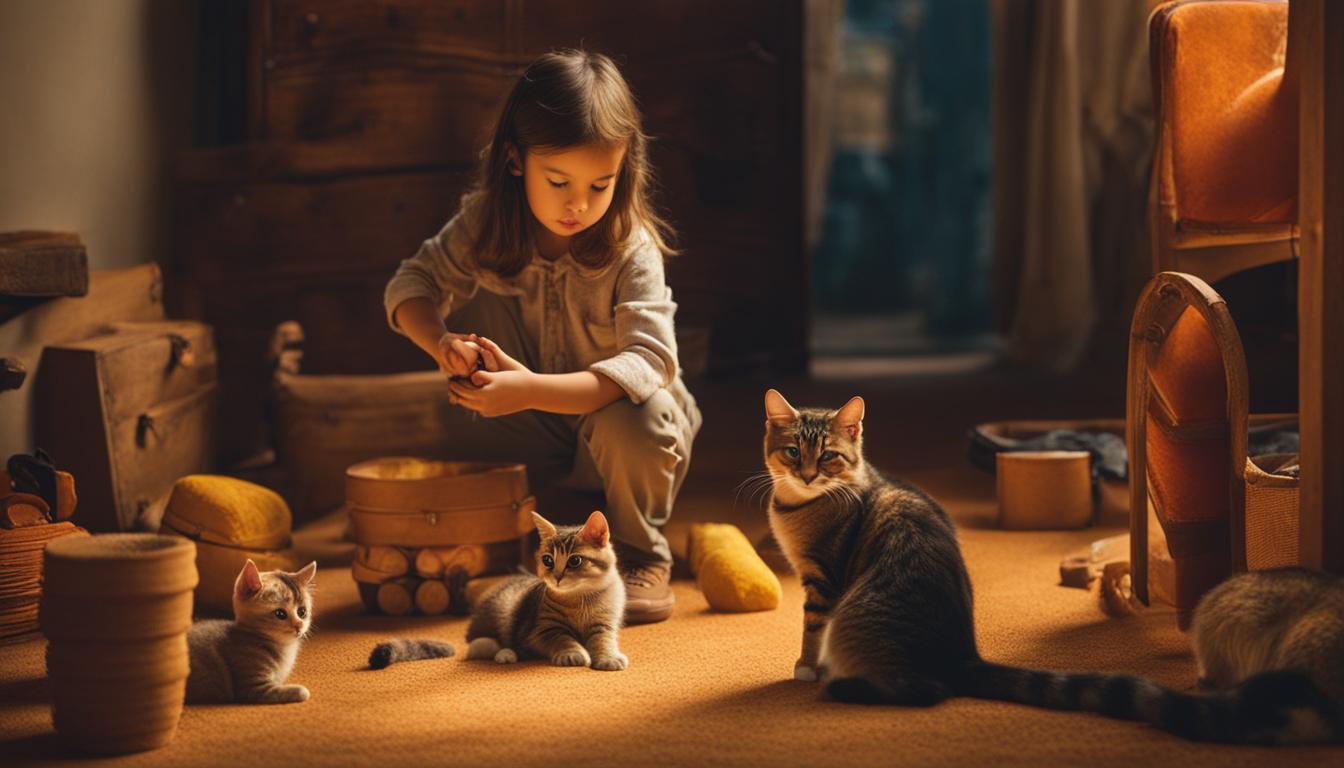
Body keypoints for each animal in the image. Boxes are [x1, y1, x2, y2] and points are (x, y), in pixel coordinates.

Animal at [186, 559, 317, 704]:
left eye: (302, 612)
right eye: (280, 614)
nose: (299, 625)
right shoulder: (253, 687)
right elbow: (293, 691)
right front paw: (302, 691)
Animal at [370, 511, 626, 672]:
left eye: (574, 561)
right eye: (548, 560)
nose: (556, 577)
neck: (580, 598)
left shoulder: (604, 624)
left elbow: (603, 639)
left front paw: (608, 657)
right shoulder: (541, 629)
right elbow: (562, 637)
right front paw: (573, 652)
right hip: (502, 613)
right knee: (479, 643)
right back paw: (503, 652)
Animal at [763, 390, 1338, 747]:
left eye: (829, 457)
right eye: (792, 452)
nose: (808, 475)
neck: (800, 507)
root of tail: (962, 655)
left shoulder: (823, 581)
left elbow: (810, 630)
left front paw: (805, 667)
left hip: (862, 629)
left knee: (926, 691)